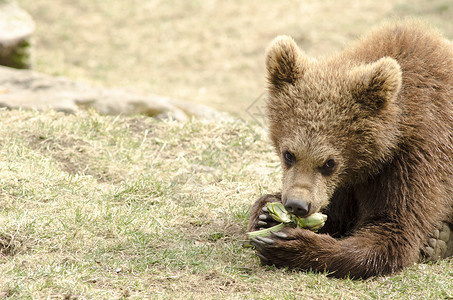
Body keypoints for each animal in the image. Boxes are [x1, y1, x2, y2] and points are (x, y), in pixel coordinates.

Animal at [247, 21, 452, 278]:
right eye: (288, 154)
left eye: (329, 162)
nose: (297, 205)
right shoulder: (346, 182)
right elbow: (335, 210)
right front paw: (266, 215)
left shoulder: (419, 156)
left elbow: (393, 229)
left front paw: (289, 243)